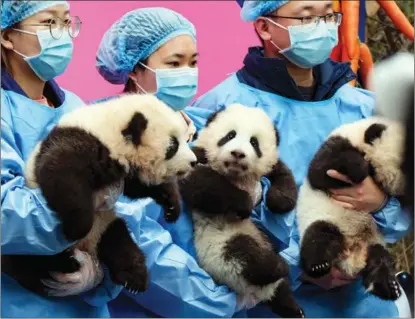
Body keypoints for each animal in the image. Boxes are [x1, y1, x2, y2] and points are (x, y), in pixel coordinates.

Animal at [2, 94, 197, 298]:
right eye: (173, 145)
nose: (194, 161)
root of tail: (86, 249)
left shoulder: (124, 172)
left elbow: (138, 187)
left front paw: (172, 206)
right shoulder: (81, 141)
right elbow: (60, 172)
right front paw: (76, 227)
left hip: (104, 224)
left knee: (118, 238)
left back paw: (134, 278)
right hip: (33, 246)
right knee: (30, 259)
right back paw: (66, 263)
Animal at [180, 104, 306, 318]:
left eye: (254, 142)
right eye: (230, 135)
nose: (238, 154)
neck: (236, 175)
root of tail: (253, 295)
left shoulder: (270, 168)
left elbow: (283, 176)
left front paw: (276, 200)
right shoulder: (199, 157)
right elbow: (200, 181)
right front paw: (244, 203)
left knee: (281, 290)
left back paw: (293, 308)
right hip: (221, 250)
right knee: (245, 254)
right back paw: (279, 266)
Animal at [300, 116, 406, 302]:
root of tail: (352, 257)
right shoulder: (336, 145)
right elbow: (321, 171)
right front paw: (360, 167)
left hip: (375, 240)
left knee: (380, 259)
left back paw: (388, 285)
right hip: (326, 220)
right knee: (317, 236)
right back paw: (318, 264)